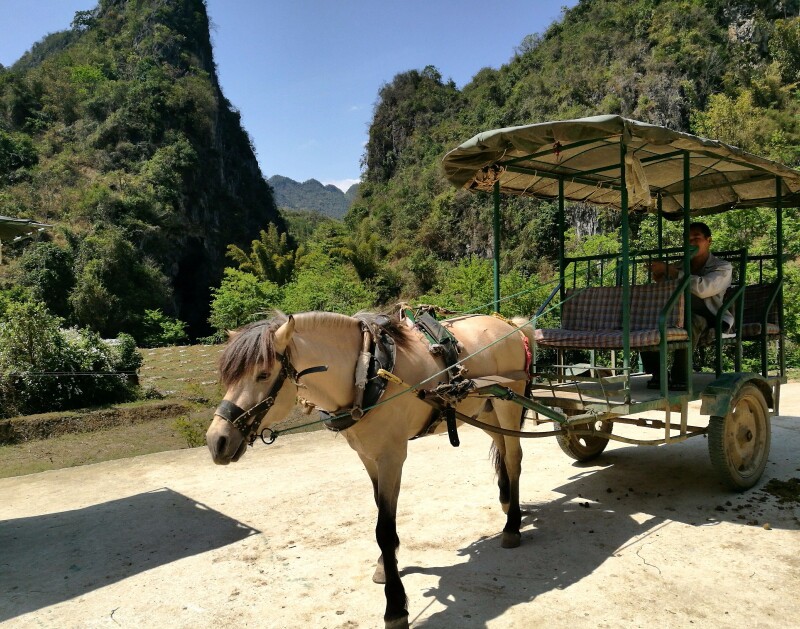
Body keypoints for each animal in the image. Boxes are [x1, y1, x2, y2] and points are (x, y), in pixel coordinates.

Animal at [203, 310, 536, 628]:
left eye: (262, 374)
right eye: (228, 377)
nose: (216, 441)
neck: (366, 373)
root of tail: (511, 325)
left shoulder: (391, 456)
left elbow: (384, 529)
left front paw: (395, 607)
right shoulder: (367, 456)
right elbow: (380, 511)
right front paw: (385, 566)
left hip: (508, 403)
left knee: (514, 458)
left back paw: (512, 526)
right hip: (485, 408)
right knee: (501, 447)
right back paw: (507, 501)